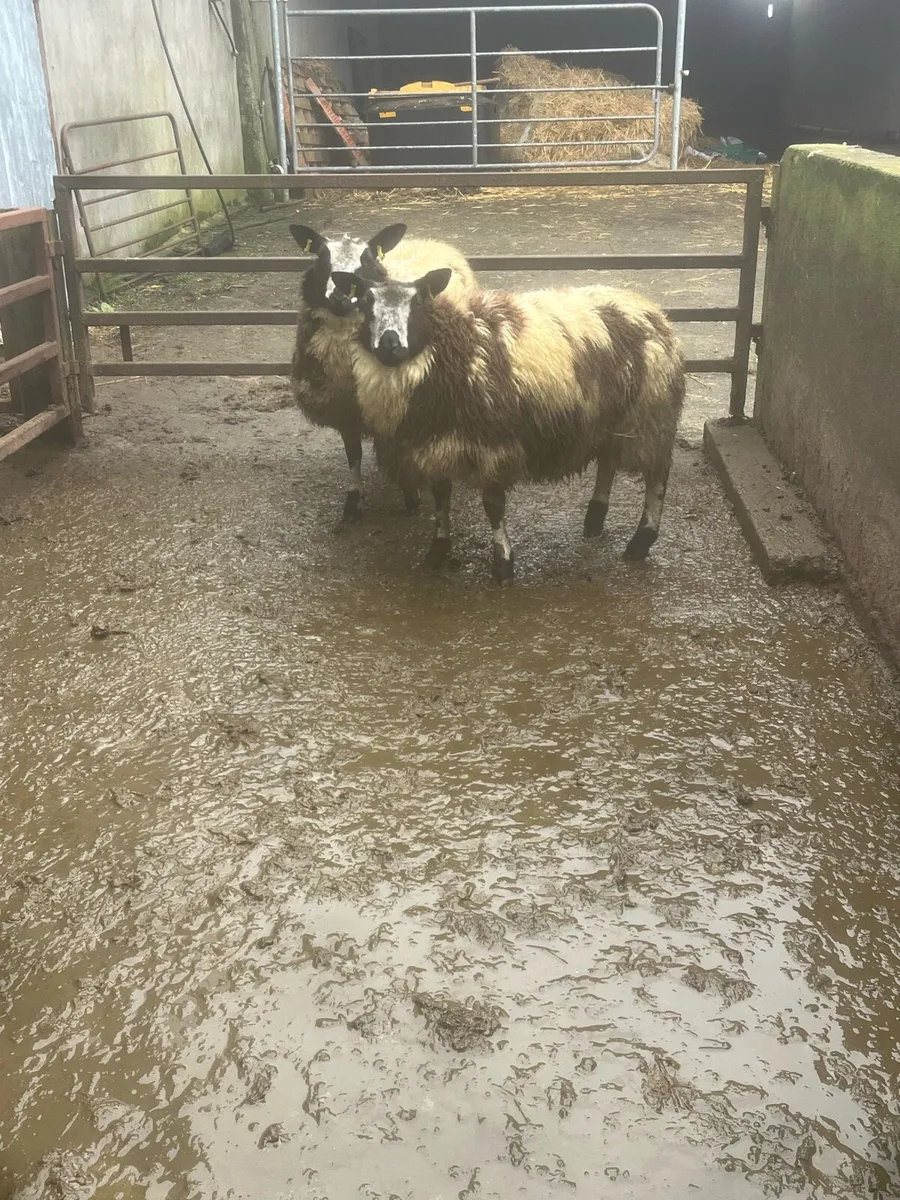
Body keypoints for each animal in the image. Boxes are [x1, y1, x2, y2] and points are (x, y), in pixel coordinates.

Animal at [289, 223, 477, 523]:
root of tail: (428, 240)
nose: (340, 298)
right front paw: (352, 504)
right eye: (321, 258)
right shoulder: (346, 411)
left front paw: (411, 497)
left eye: (366, 260)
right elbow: (353, 456)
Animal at [331, 268, 685, 581]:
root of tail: (649, 308)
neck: (456, 346)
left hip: (650, 414)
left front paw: (503, 565)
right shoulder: (436, 444)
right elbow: (441, 498)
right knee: (608, 462)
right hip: (611, 417)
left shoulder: (493, 444)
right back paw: (594, 520)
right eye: (364, 303)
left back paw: (641, 541)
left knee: (657, 475)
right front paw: (438, 551)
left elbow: (493, 506)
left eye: (418, 302)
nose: (390, 345)